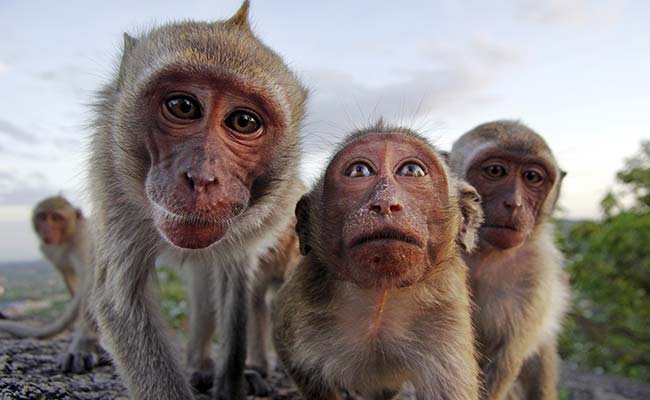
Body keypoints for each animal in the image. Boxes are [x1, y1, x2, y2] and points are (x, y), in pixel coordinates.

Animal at [87, 1, 307, 398]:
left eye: (244, 122)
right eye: (182, 106)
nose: (202, 178)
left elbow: (235, 282)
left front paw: (232, 380)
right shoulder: (112, 183)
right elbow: (120, 299)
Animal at [272, 123, 482, 400]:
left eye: (412, 171)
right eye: (359, 171)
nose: (384, 203)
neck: (380, 295)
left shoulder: (446, 314)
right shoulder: (304, 303)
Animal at [448, 120, 570, 400]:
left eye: (532, 177)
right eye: (495, 171)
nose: (514, 204)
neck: (485, 254)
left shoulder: (537, 274)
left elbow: (505, 362)